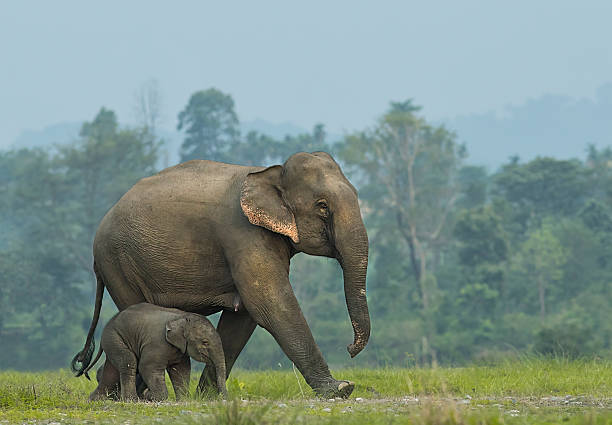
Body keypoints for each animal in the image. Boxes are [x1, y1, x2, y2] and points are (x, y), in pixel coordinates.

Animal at [86, 304, 227, 400]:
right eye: (205, 342)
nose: (224, 397)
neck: (182, 317)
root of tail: (108, 324)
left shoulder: (180, 350)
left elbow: (181, 370)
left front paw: (183, 399)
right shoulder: (157, 343)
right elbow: (147, 366)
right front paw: (150, 396)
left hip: (114, 340)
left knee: (112, 369)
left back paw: (95, 399)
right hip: (115, 337)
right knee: (129, 361)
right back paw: (132, 400)